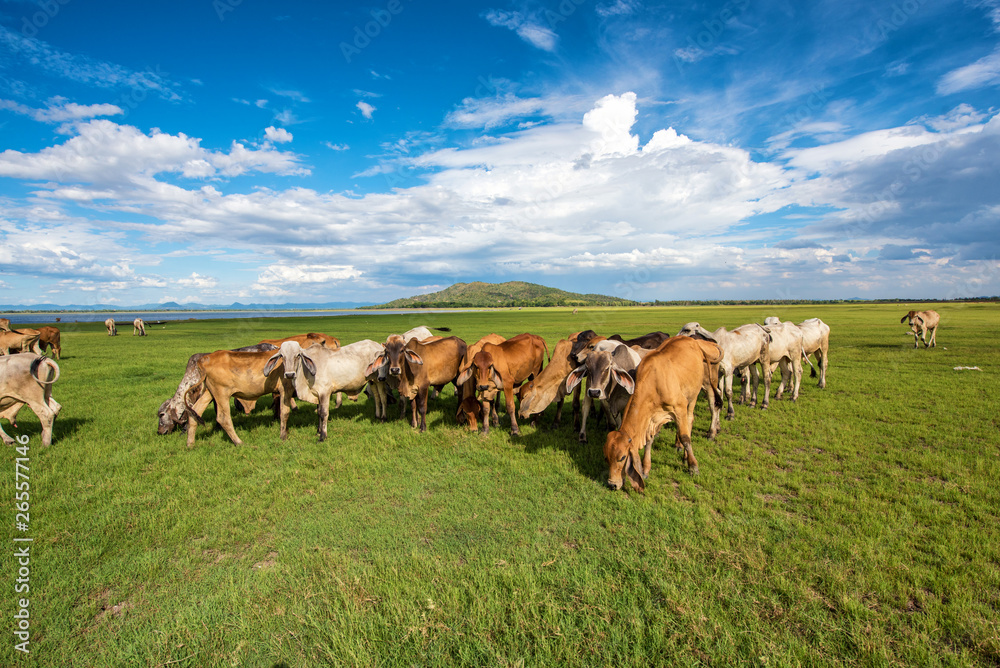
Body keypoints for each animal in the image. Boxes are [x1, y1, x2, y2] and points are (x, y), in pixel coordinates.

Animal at [596, 340, 724, 490]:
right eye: (606, 457)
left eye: (622, 458)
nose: (612, 485)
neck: (654, 382)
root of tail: (696, 342)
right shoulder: (653, 417)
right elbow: (649, 440)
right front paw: (645, 469)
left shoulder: (679, 407)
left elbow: (685, 437)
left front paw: (693, 467)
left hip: (695, 393)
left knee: (691, 419)